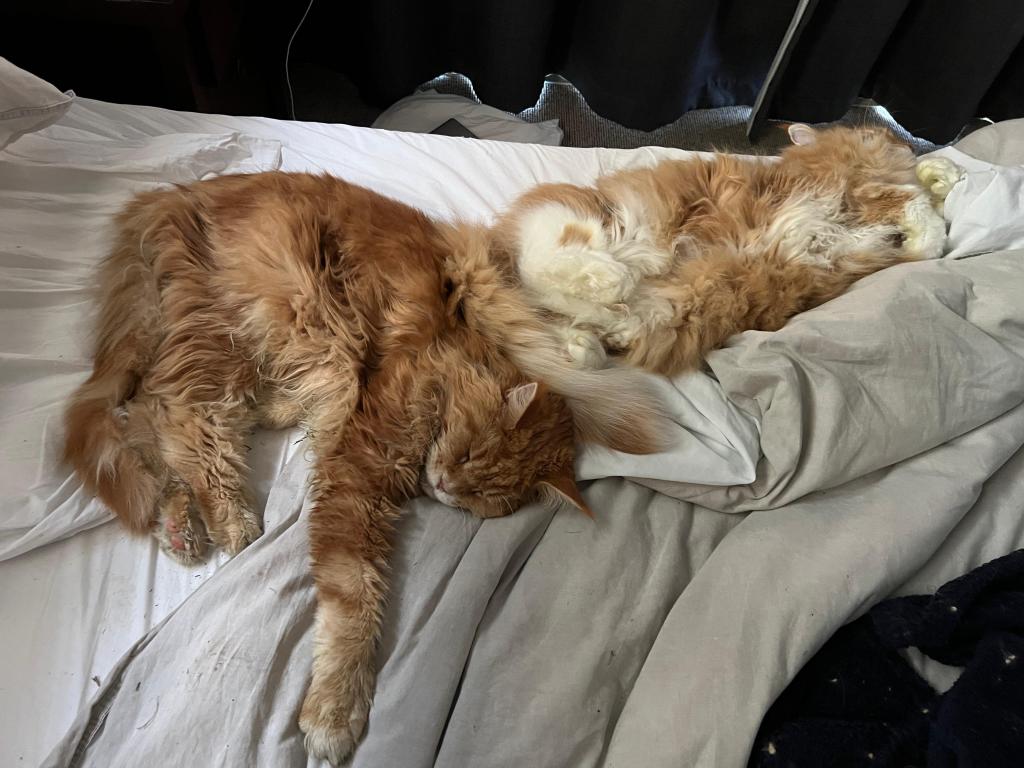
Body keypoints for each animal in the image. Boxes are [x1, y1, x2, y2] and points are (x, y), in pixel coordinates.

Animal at [62, 172, 666, 763]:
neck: (457, 349)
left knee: (149, 417)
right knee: (184, 418)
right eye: (470, 454)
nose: (446, 486)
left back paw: (177, 520)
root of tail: (167, 197)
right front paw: (335, 709)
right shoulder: (356, 470)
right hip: (229, 335)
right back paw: (230, 520)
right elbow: (355, 597)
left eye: (484, 497)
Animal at [491, 124, 964, 375]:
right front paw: (934, 187)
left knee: (573, 316)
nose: (906, 141)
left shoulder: (857, 252)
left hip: (664, 308)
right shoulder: (851, 196)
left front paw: (941, 176)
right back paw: (610, 280)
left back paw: (590, 338)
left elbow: (917, 232)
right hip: (592, 223)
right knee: (540, 266)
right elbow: (918, 209)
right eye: (873, 131)